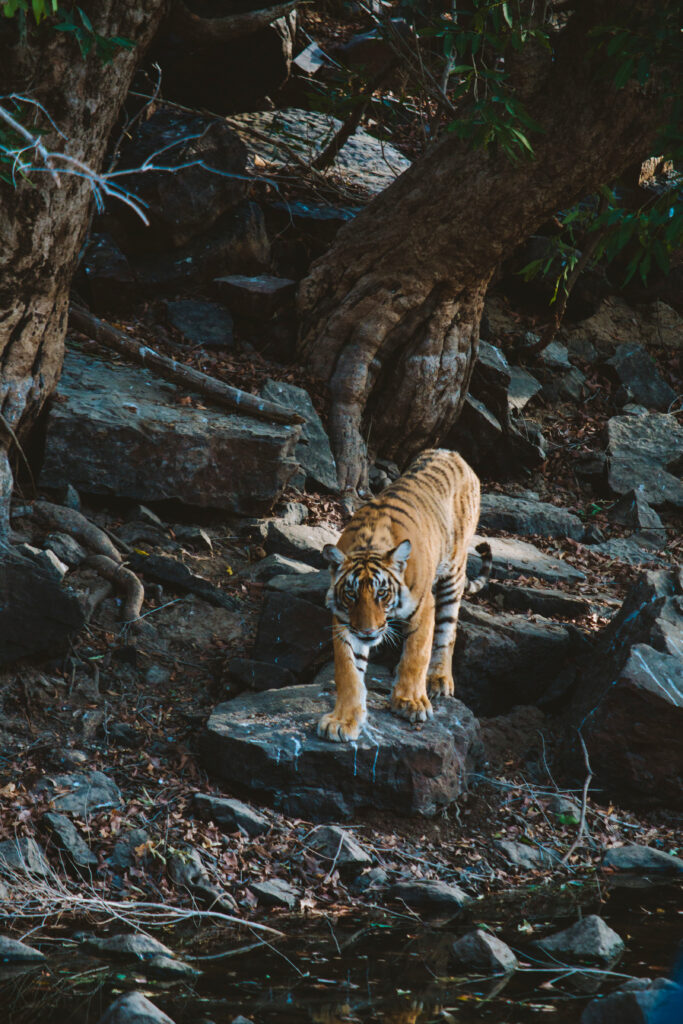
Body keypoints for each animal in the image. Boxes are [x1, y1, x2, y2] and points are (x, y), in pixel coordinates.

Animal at [321, 452, 491, 741]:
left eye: (382, 593)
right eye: (351, 595)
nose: (367, 632)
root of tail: (453, 453)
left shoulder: (424, 606)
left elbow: (416, 654)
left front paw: (410, 702)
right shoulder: (344, 621)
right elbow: (348, 671)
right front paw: (343, 720)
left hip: (453, 572)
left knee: (448, 631)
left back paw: (439, 680)